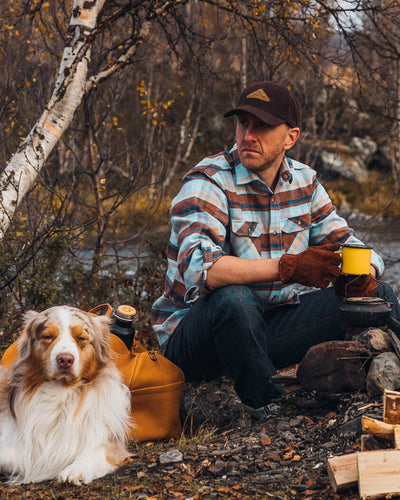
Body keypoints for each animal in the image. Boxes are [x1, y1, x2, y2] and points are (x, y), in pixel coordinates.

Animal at [0, 304, 132, 484]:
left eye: (81, 338)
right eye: (47, 336)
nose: (65, 360)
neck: (61, 393)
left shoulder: (111, 443)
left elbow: (95, 452)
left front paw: (75, 470)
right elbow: (15, 458)